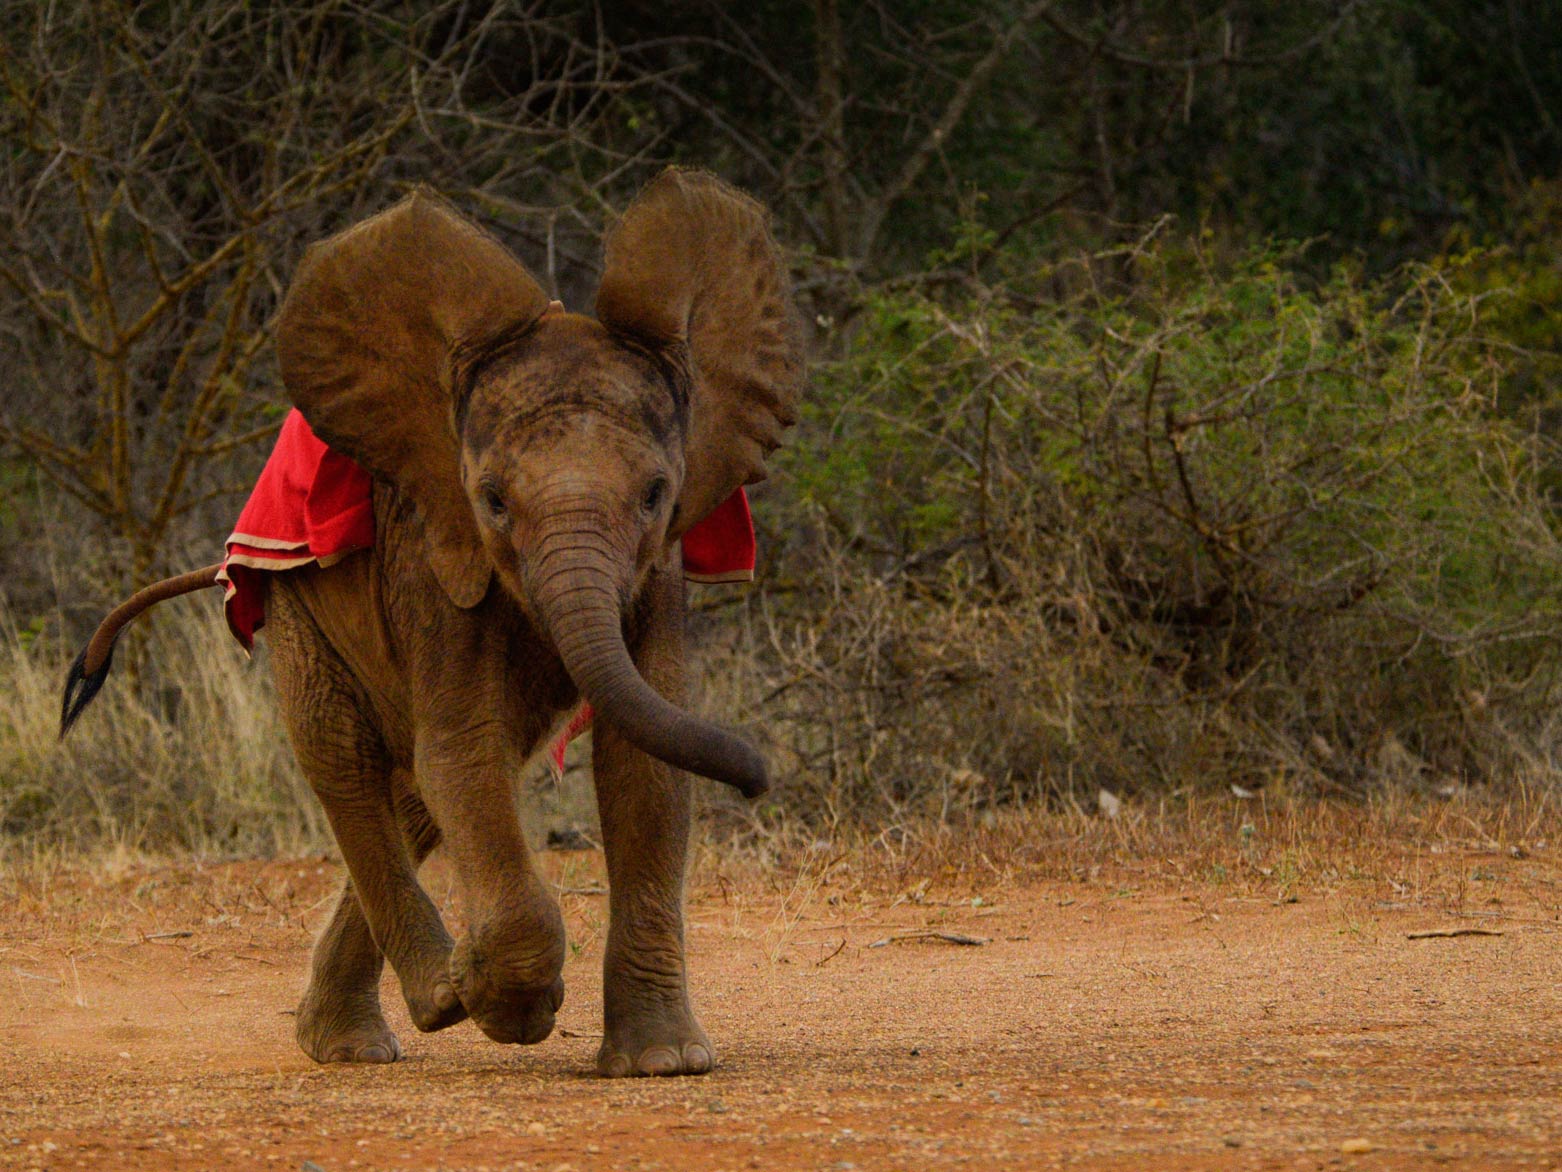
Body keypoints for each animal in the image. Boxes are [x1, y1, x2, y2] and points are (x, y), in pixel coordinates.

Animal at [59, 169, 799, 1081]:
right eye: (493, 500)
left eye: (658, 494)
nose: (760, 776)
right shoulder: (435, 548)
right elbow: (465, 750)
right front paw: (512, 1009)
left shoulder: (655, 573)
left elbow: (643, 765)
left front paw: (663, 1064)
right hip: (295, 600)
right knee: (345, 759)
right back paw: (436, 1001)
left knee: (411, 791)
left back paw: (363, 1031)